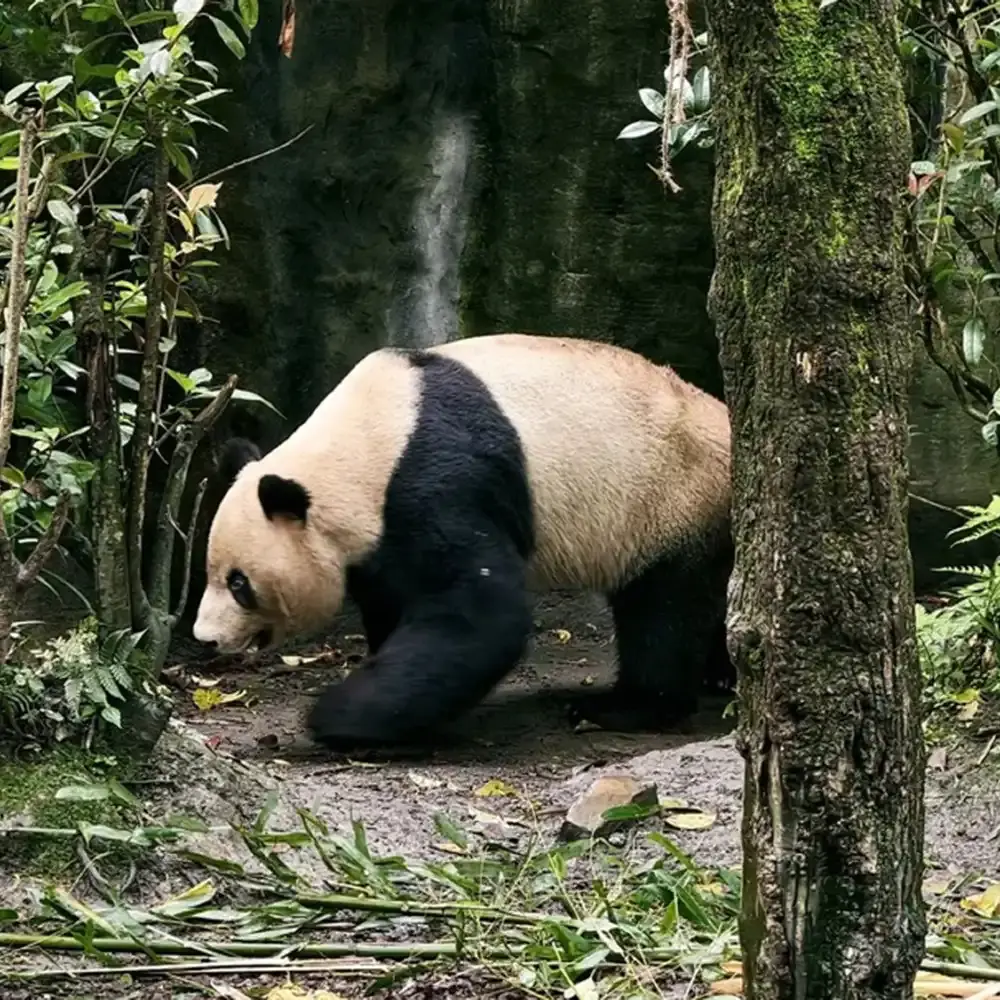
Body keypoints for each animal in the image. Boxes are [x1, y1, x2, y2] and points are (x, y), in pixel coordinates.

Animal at [192, 333, 732, 750]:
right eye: (211, 573)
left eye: (239, 583)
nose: (205, 638)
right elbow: (396, 604)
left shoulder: (435, 482)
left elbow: (480, 613)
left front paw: (335, 715)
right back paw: (719, 677)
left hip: (669, 498)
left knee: (663, 608)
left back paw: (626, 707)